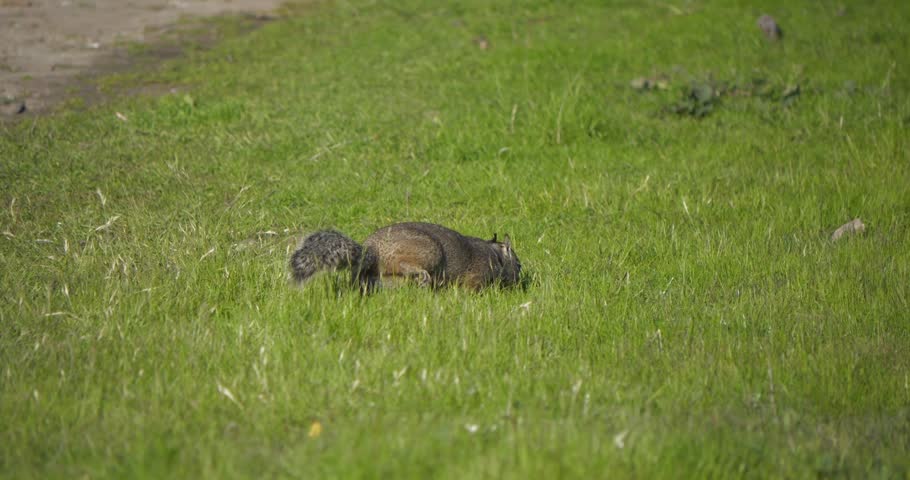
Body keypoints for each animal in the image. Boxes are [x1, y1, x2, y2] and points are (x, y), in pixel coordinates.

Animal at [289, 222, 522, 291]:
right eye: (518, 265)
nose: (519, 280)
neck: (494, 255)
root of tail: (371, 251)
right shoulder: (477, 277)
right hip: (428, 252)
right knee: (403, 264)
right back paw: (422, 276)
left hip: (384, 280)